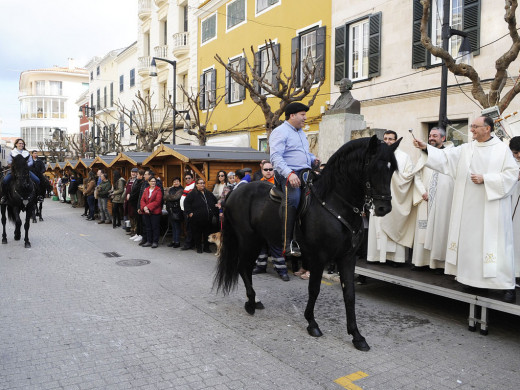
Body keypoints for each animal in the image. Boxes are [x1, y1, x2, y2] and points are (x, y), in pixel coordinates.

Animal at [213, 136, 400, 352]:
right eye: (373, 166)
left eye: (392, 169)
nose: (384, 207)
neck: (335, 204)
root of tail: (236, 191)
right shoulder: (318, 257)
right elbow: (314, 289)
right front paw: (312, 323)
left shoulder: (347, 257)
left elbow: (350, 294)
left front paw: (356, 335)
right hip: (247, 240)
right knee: (243, 268)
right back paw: (251, 302)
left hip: (258, 240)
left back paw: (255, 300)